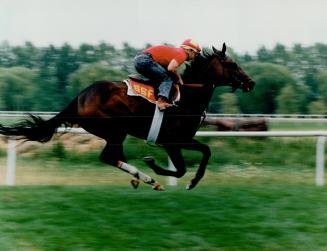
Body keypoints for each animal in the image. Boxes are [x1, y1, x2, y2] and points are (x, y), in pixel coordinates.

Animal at [0, 44, 256, 191]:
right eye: (233, 64)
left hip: (115, 133)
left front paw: (171, 174)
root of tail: (80, 96)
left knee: (113, 157)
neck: (187, 98)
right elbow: (195, 160)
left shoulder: (175, 142)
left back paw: (141, 179)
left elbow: (195, 159)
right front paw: (183, 178)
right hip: (115, 130)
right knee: (108, 157)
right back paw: (147, 178)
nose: (251, 82)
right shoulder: (172, 140)